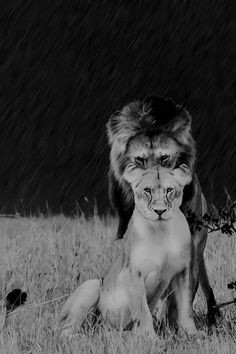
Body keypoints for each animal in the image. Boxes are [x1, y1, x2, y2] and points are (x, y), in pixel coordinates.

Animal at [60, 165, 196, 336]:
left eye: (169, 189)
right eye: (147, 190)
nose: (160, 211)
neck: (161, 231)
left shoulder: (181, 273)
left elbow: (186, 307)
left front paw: (192, 334)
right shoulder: (133, 274)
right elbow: (143, 311)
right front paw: (149, 337)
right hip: (92, 285)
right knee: (65, 328)